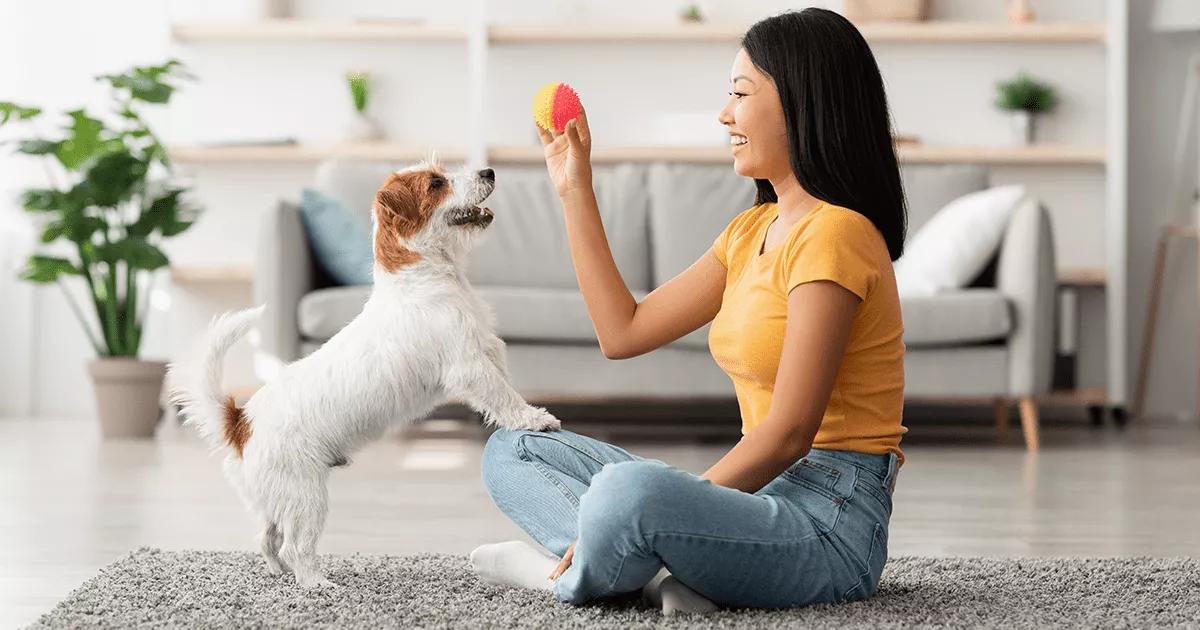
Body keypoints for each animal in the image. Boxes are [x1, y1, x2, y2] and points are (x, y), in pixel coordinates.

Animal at [164, 159, 561, 588]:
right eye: (436, 182)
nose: (489, 172)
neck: (421, 277)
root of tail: (240, 422)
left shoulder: (489, 351)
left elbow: (506, 386)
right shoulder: (470, 366)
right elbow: (503, 396)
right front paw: (535, 419)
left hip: (277, 499)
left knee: (267, 539)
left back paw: (280, 573)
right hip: (306, 497)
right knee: (294, 546)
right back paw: (317, 584)